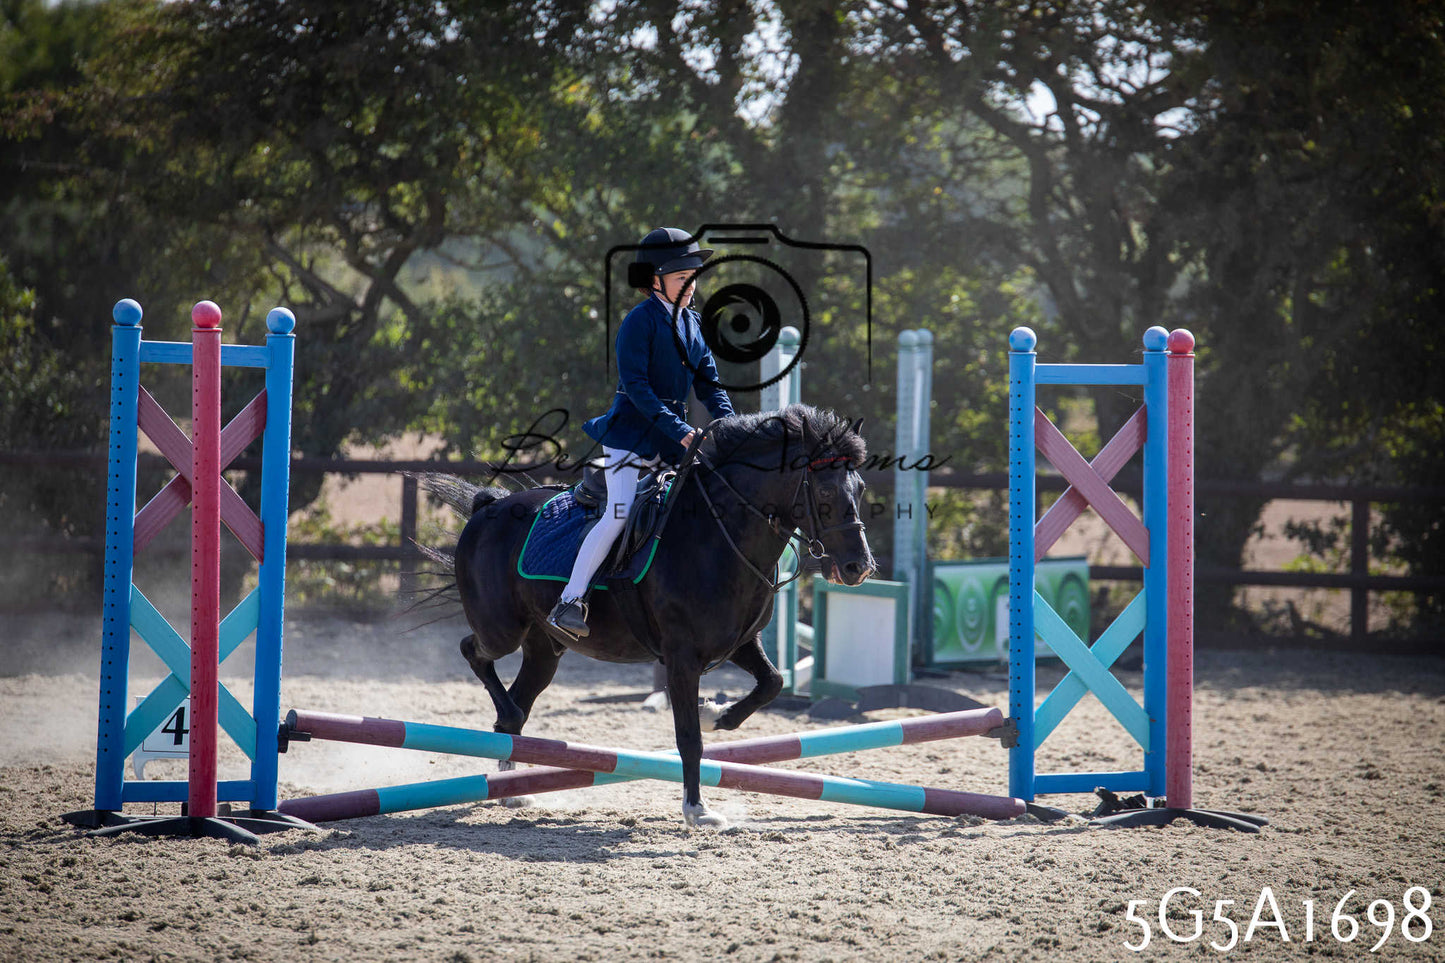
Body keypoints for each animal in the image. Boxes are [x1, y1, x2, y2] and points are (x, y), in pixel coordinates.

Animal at [423, 404, 876, 828]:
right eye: (825, 493)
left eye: (860, 488)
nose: (859, 568)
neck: (718, 535)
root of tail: (488, 508)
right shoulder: (681, 657)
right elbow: (689, 737)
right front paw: (697, 809)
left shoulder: (740, 642)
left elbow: (772, 683)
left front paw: (716, 714)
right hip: (502, 630)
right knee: (475, 652)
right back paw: (508, 734)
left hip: (544, 649)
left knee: (518, 698)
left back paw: (512, 785)